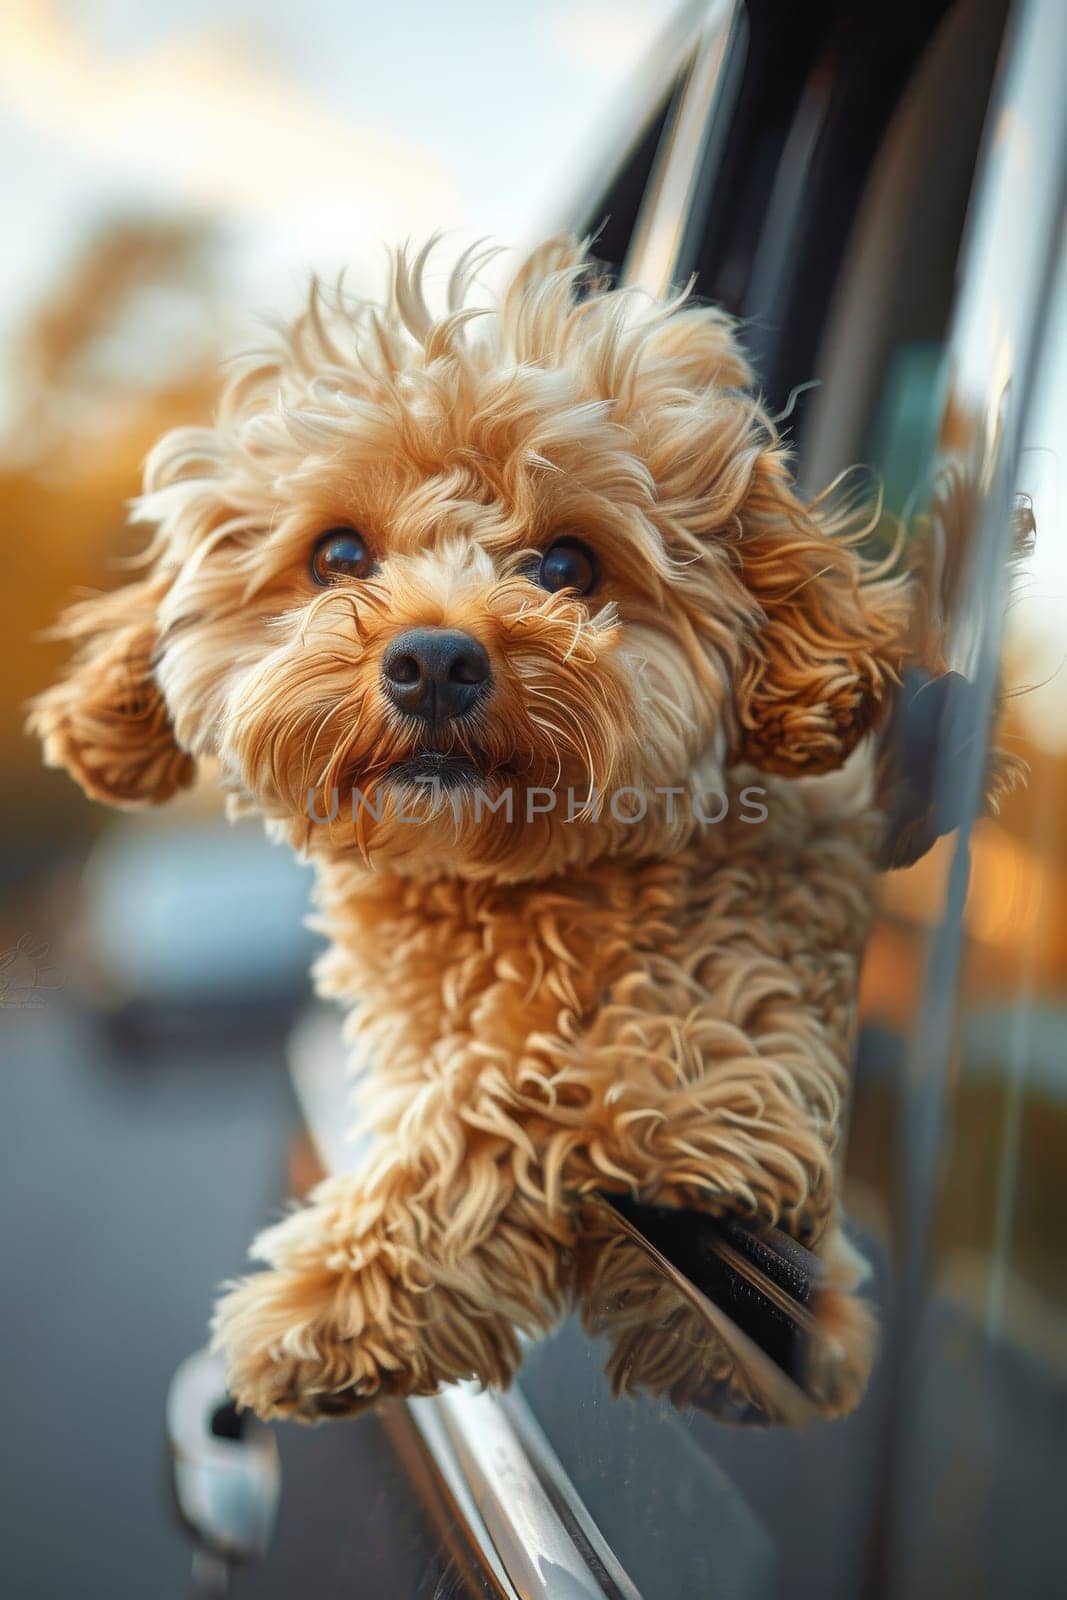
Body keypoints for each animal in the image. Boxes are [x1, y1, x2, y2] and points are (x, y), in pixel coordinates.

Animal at [31, 233, 908, 1414]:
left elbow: (510, 1088)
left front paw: (328, 1297)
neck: (498, 892)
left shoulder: (717, 1075)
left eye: (568, 566)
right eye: (339, 556)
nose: (436, 660)